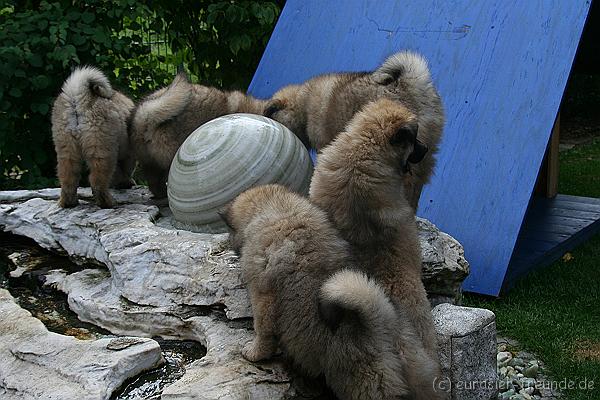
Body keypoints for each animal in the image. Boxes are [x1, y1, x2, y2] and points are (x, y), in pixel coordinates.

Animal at [50, 66, 136, 208]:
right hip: (101, 148)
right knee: (97, 180)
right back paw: (107, 202)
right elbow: (125, 170)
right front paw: (125, 183)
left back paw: (68, 202)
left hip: (66, 146)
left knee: (68, 177)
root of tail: (78, 97)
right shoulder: (127, 154)